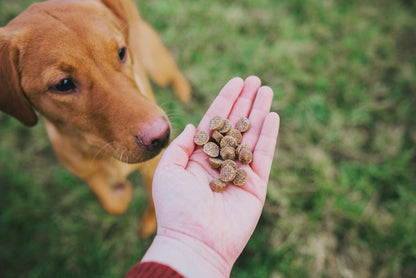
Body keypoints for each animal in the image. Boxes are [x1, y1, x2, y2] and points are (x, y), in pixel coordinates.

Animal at [0, 0, 192, 237]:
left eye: (121, 52)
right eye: (63, 84)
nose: (161, 135)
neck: (102, 149)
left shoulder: (153, 168)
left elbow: (154, 203)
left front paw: (149, 221)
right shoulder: (85, 172)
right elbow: (111, 202)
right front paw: (122, 193)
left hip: (154, 61)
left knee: (171, 69)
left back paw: (184, 90)